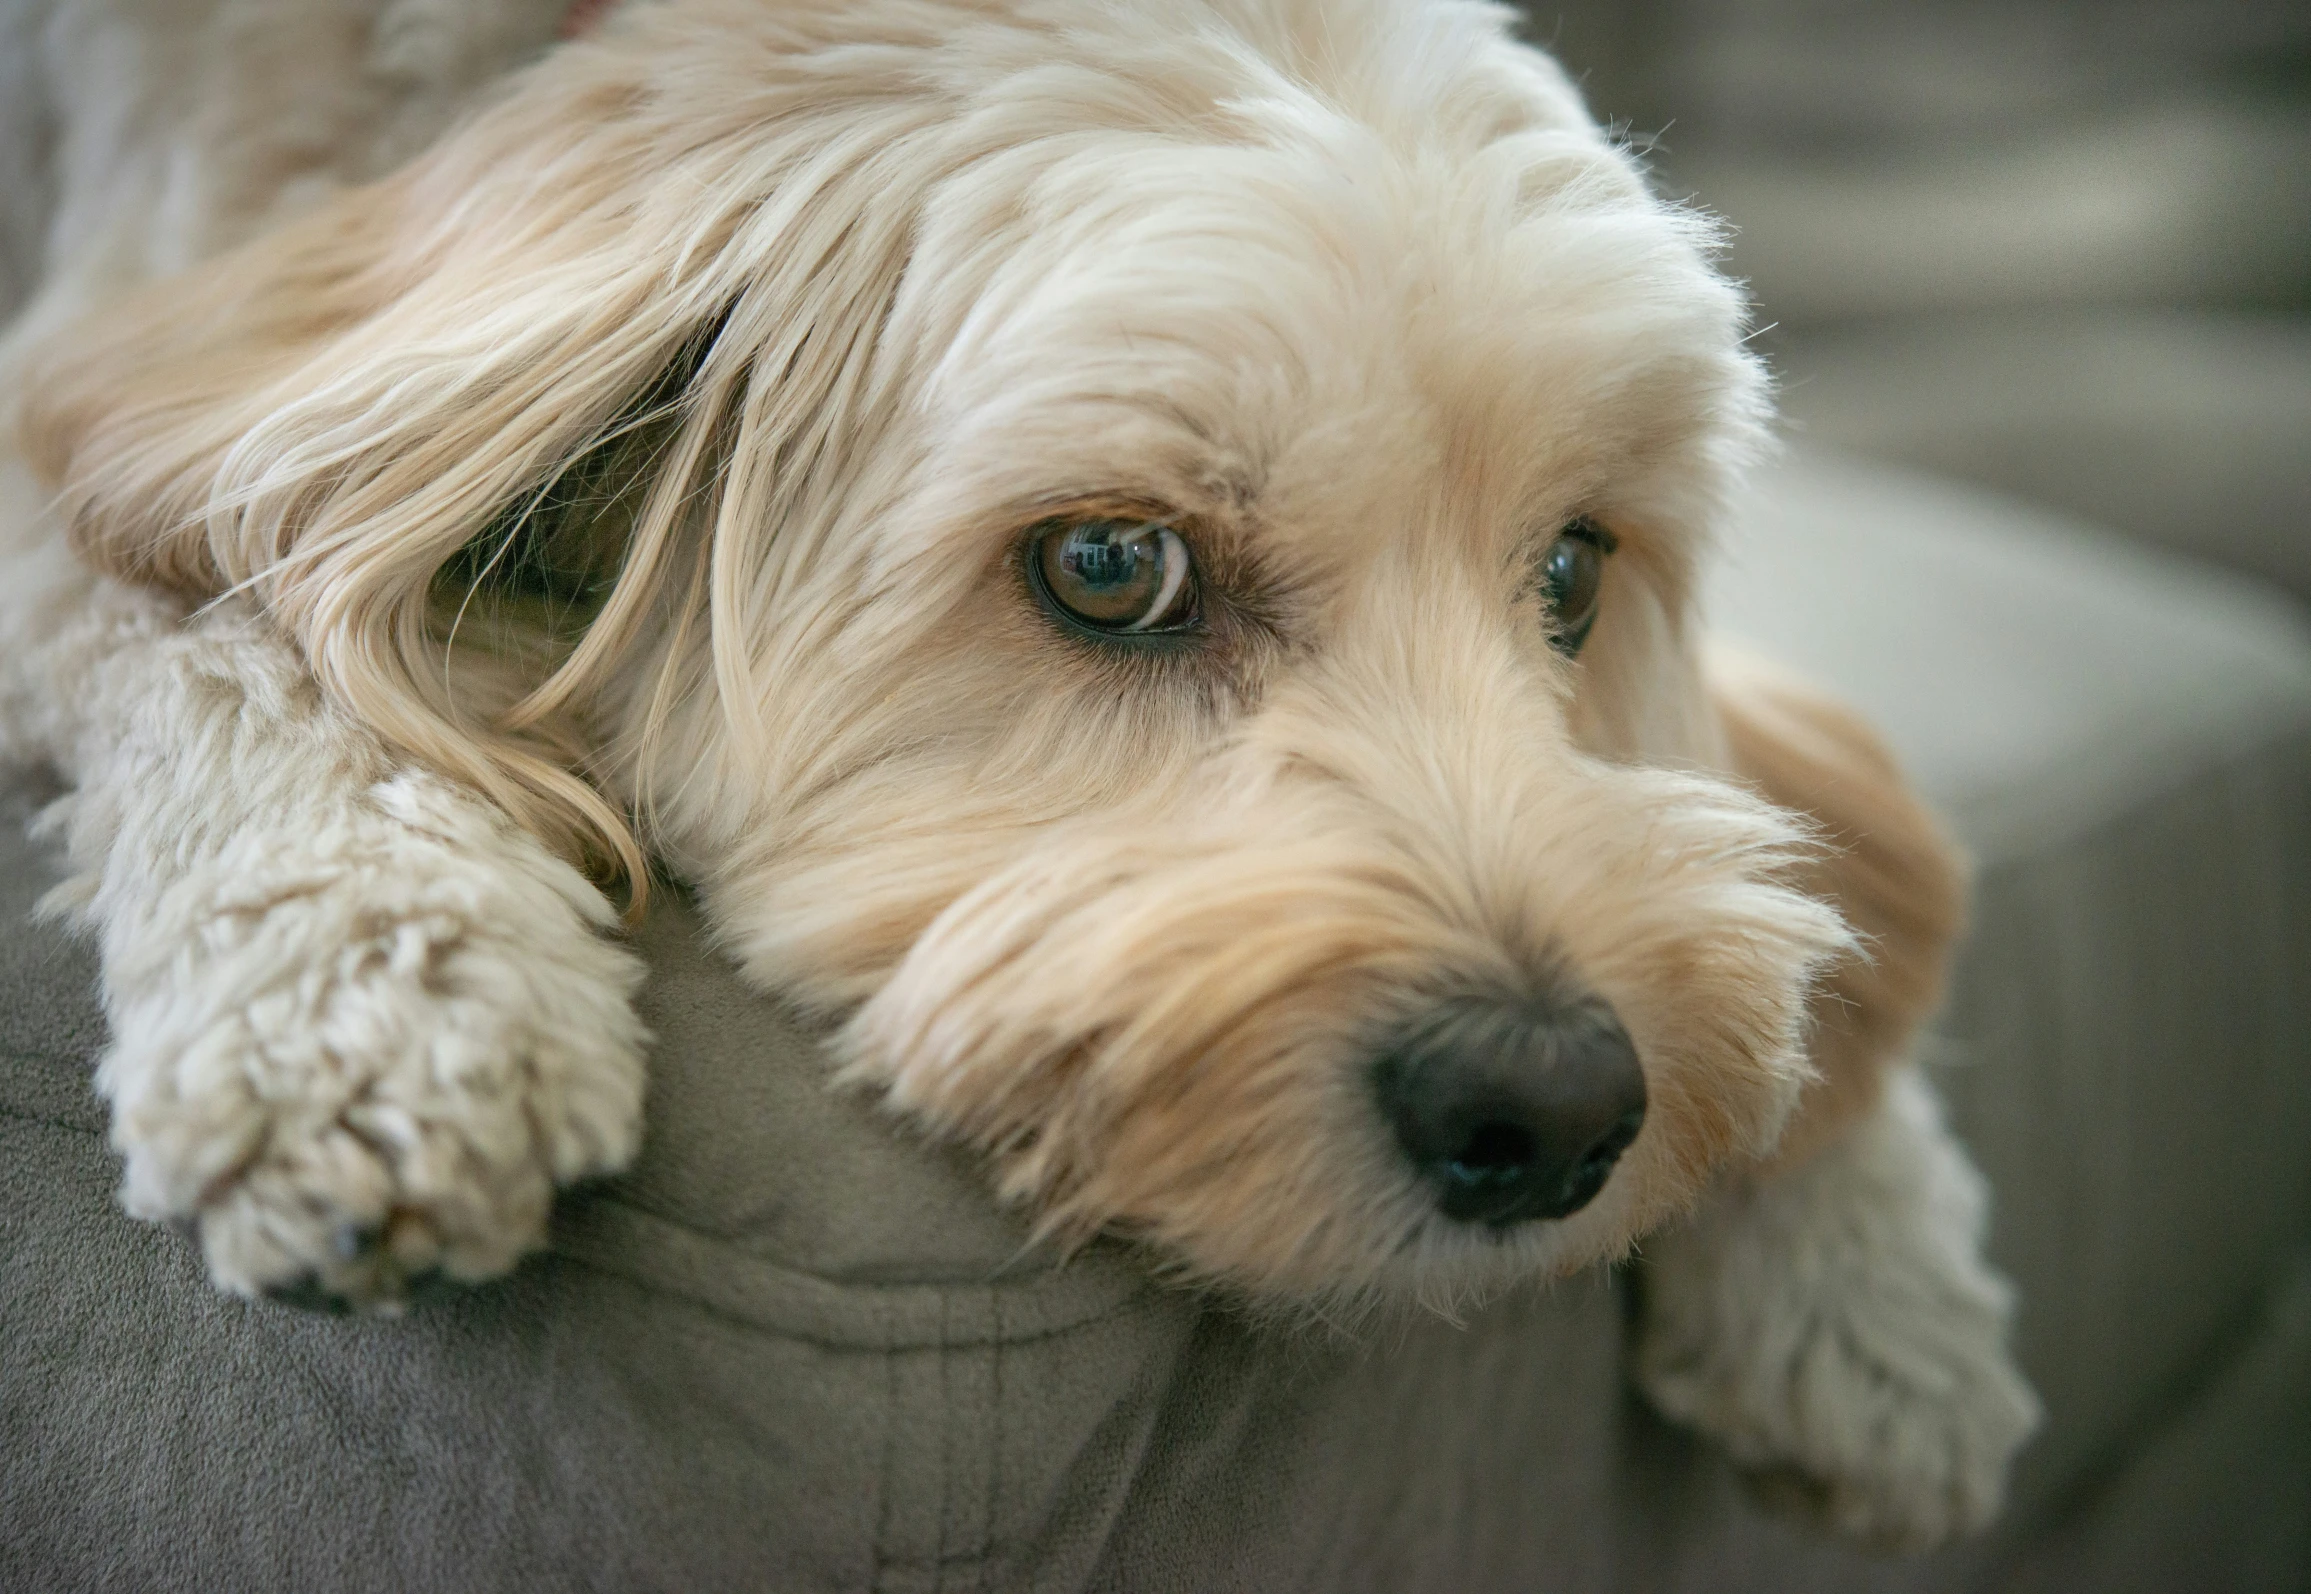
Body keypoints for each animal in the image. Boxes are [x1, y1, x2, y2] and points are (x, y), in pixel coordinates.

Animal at [0, 0, 2033, 1543]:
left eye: (1572, 573)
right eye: (1108, 565)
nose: (1547, 1110)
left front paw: (1868, 1264)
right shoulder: (93, 405)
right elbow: (222, 611)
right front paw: (371, 1000)